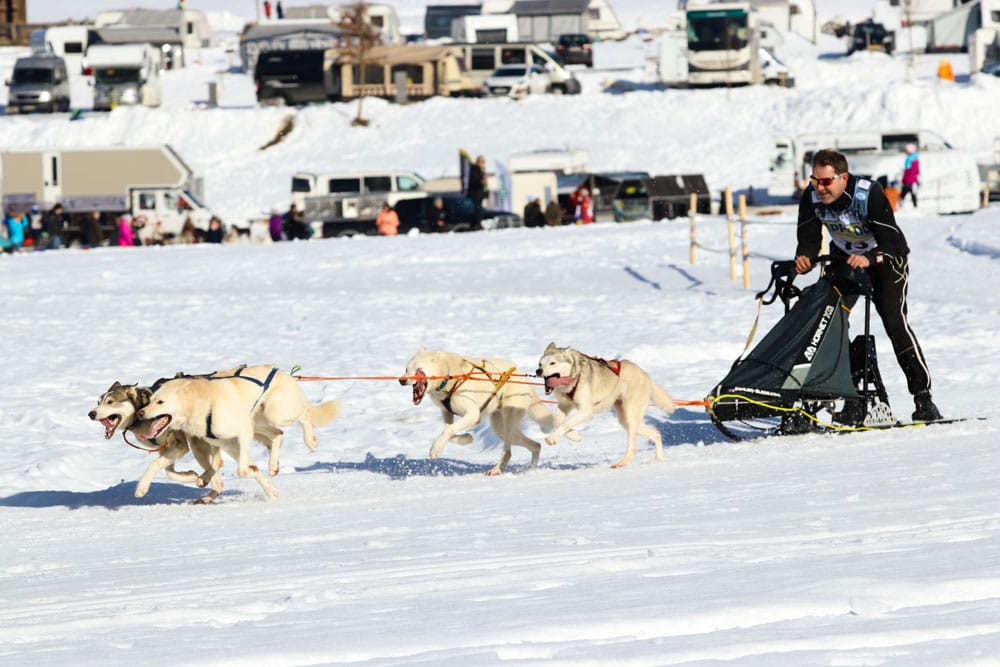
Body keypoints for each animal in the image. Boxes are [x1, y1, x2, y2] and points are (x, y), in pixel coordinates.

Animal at [137, 366, 342, 500]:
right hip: (258, 425)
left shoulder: (242, 433)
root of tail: (282, 372)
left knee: (304, 415)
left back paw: (310, 441)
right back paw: (273, 467)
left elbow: (242, 470)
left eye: (161, 402)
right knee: (278, 434)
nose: (140, 413)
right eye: (151, 400)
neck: (203, 404)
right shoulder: (224, 442)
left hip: (274, 414)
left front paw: (249, 470)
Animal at [396, 350, 572, 474]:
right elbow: (449, 431)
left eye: (417, 370)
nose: (401, 380)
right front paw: (466, 439)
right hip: (501, 428)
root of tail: (522, 375)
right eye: (406, 369)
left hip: (508, 420)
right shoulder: (447, 413)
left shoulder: (473, 414)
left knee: (508, 452)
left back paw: (496, 469)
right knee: (535, 445)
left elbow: (448, 430)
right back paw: (531, 468)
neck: (450, 375)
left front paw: (436, 449)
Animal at [536, 344, 676, 470]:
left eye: (552, 363)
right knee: (656, 433)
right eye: (540, 364)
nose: (538, 371)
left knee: (632, 448)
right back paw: (658, 459)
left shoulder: (586, 411)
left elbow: (565, 424)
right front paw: (574, 435)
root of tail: (645, 374)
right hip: (626, 420)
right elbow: (557, 423)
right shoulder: (565, 405)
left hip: (631, 416)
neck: (574, 378)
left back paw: (621, 463)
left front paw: (552, 438)